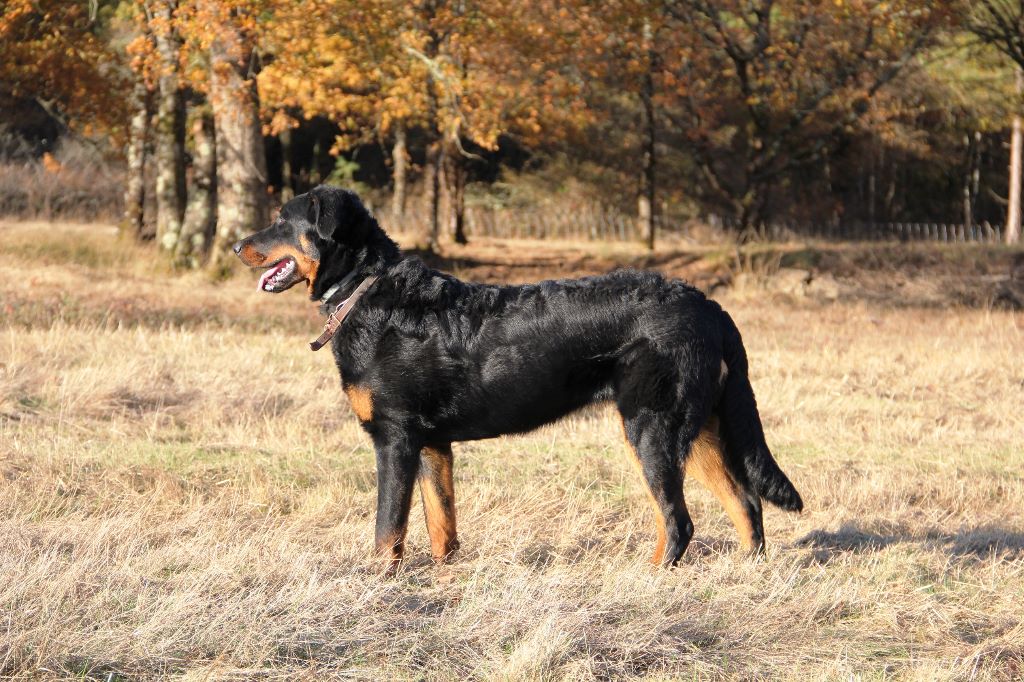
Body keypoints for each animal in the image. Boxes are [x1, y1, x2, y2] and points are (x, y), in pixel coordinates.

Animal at [234, 185, 803, 568]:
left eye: (282, 220)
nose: (238, 246)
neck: (368, 289)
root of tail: (708, 305)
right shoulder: (432, 444)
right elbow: (442, 525)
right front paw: (445, 579)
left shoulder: (395, 439)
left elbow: (386, 529)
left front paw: (379, 587)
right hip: (699, 426)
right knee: (745, 504)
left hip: (652, 427)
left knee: (678, 520)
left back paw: (649, 576)